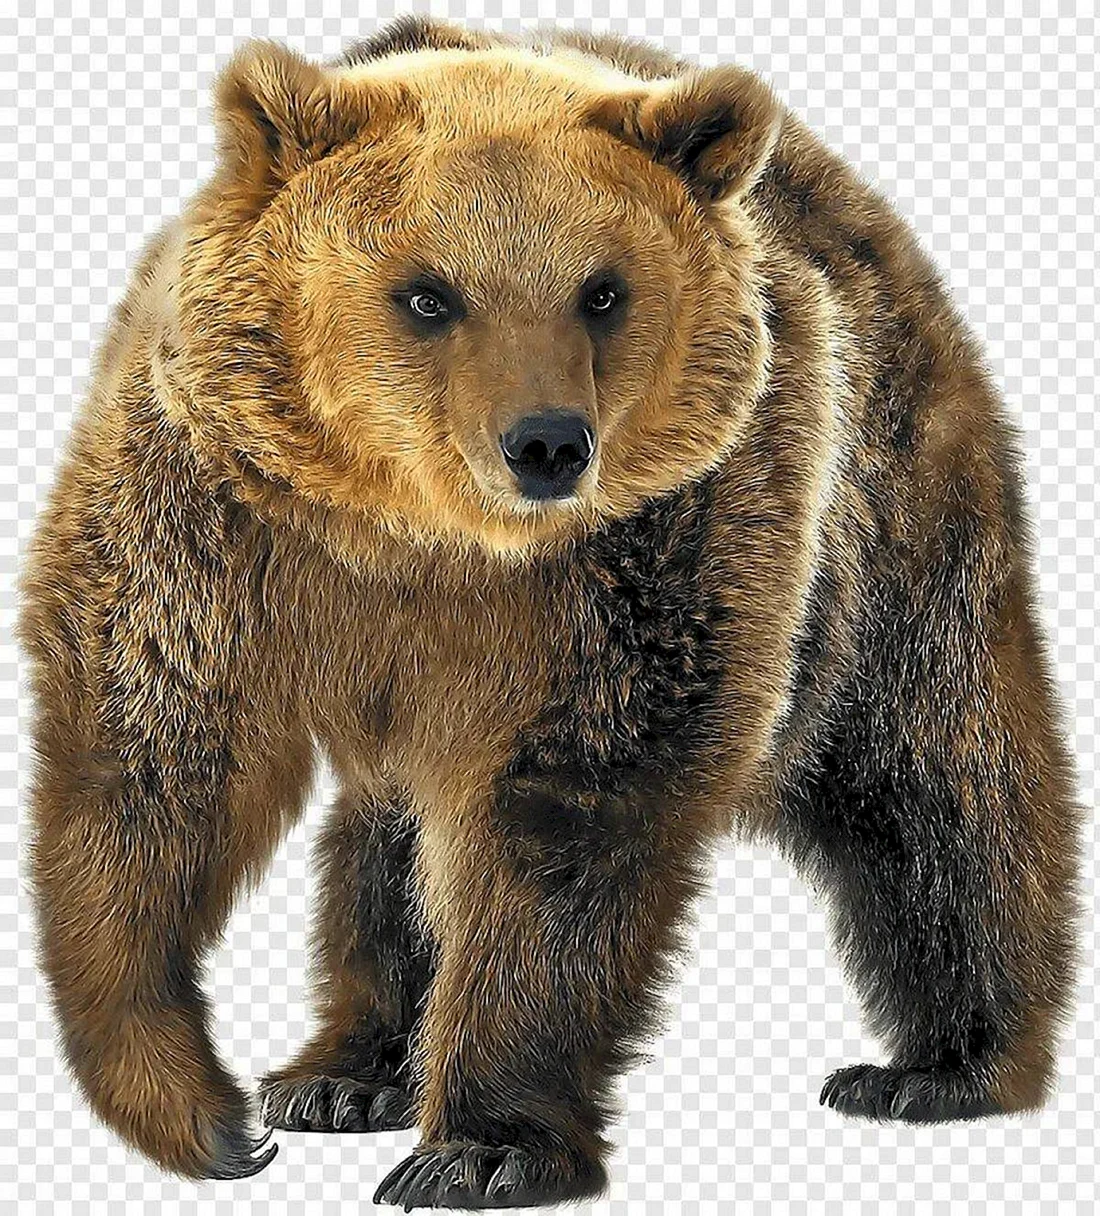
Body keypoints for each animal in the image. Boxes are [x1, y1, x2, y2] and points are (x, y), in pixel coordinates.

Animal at [16, 13, 1082, 1209]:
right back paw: (346, 1072)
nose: (546, 443)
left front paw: (481, 1145)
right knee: (387, 838)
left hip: (885, 516)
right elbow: (152, 761)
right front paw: (202, 1109)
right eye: (428, 292)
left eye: (601, 290)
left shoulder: (655, 555)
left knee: (932, 775)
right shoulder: (214, 515)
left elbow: (565, 820)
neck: (421, 539)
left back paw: (941, 1064)